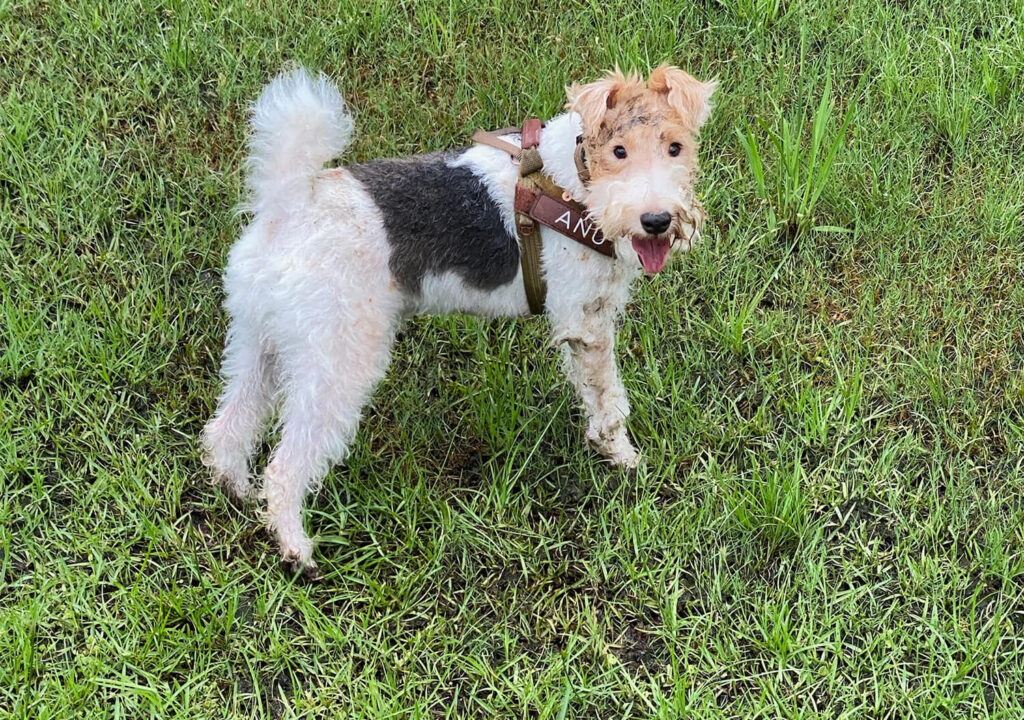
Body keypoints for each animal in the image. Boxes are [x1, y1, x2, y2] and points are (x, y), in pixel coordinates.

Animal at [199, 66, 712, 573]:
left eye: (675, 147)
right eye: (619, 150)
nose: (656, 221)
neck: (573, 178)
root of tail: (284, 207)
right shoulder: (587, 322)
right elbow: (609, 402)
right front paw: (624, 458)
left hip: (258, 342)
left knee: (228, 427)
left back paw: (237, 490)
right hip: (336, 363)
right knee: (285, 466)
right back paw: (295, 548)